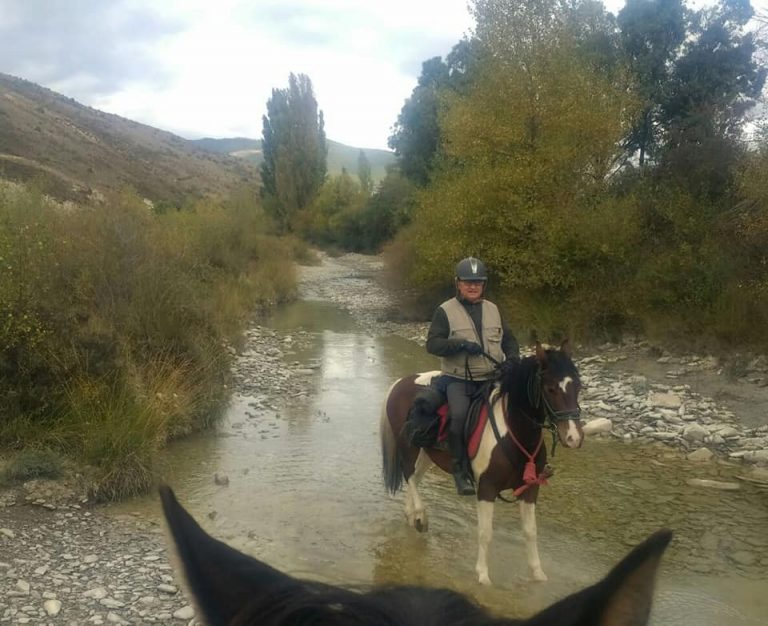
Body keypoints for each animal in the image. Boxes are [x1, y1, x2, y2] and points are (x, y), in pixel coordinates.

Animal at [378, 338, 584, 584]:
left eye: (578, 386)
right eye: (550, 388)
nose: (573, 437)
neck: (512, 432)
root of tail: (400, 383)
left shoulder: (530, 489)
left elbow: (531, 531)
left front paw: (538, 574)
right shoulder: (487, 488)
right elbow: (485, 533)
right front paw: (483, 575)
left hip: (427, 453)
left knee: (415, 479)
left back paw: (412, 517)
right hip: (409, 446)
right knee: (408, 474)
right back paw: (420, 516)